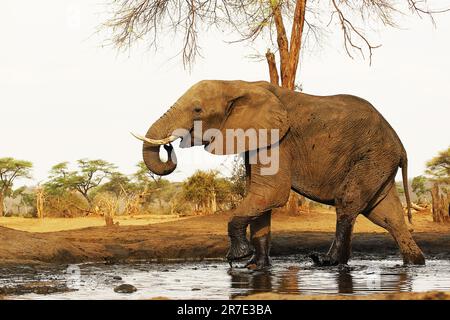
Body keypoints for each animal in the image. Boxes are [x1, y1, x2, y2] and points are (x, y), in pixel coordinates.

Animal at [134, 79, 426, 268]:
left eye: (197, 110)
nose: (170, 145)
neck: (237, 84)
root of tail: (401, 147)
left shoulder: (277, 139)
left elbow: (271, 192)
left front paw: (238, 257)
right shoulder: (255, 138)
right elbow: (260, 196)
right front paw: (256, 266)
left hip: (372, 156)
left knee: (348, 203)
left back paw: (325, 261)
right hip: (378, 161)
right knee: (387, 215)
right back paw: (415, 263)